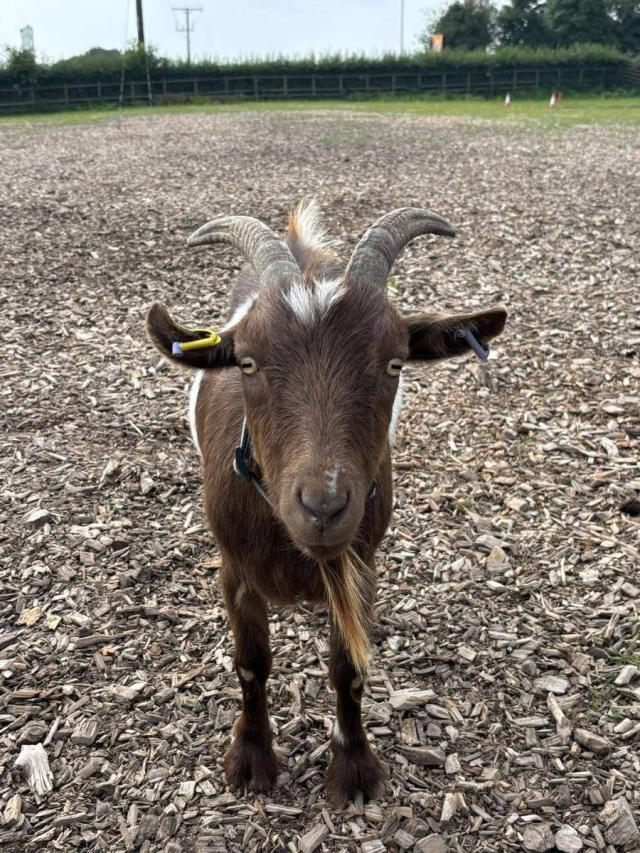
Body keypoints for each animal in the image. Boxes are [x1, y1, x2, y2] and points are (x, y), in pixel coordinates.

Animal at [147, 201, 507, 805]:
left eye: (394, 363)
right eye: (246, 362)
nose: (323, 507)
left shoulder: (360, 563)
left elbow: (348, 669)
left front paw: (354, 769)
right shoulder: (234, 569)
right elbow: (251, 664)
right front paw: (251, 762)